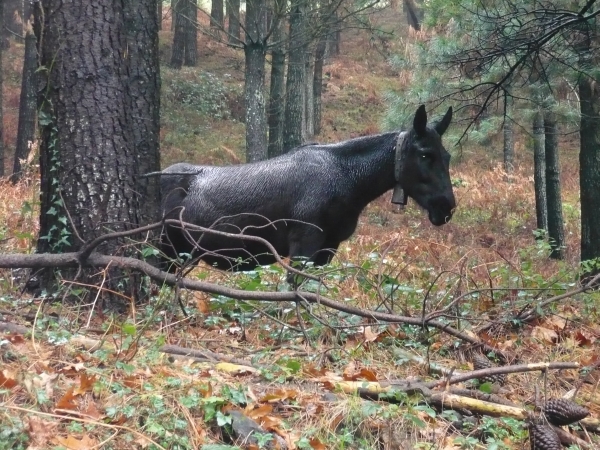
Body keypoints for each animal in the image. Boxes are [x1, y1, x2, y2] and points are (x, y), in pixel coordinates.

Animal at [159, 106, 454, 278]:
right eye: (425, 154)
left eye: (447, 155)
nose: (446, 206)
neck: (353, 186)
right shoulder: (304, 242)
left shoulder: (328, 247)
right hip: (164, 245)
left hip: (182, 252)